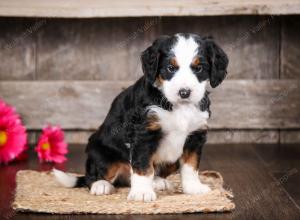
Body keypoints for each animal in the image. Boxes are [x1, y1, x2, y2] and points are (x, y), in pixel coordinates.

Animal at [54, 33, 229, 202]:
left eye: (198, 68)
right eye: (170, 68)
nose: (184, 92)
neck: (178, 106)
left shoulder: (195, 135)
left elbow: (190, 166)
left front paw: (193, 188)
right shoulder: (143, 134)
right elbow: (143, 167)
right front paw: (142, 193)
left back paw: (158, 182)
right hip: (101, 152)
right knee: (93, 176)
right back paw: (101, 185)